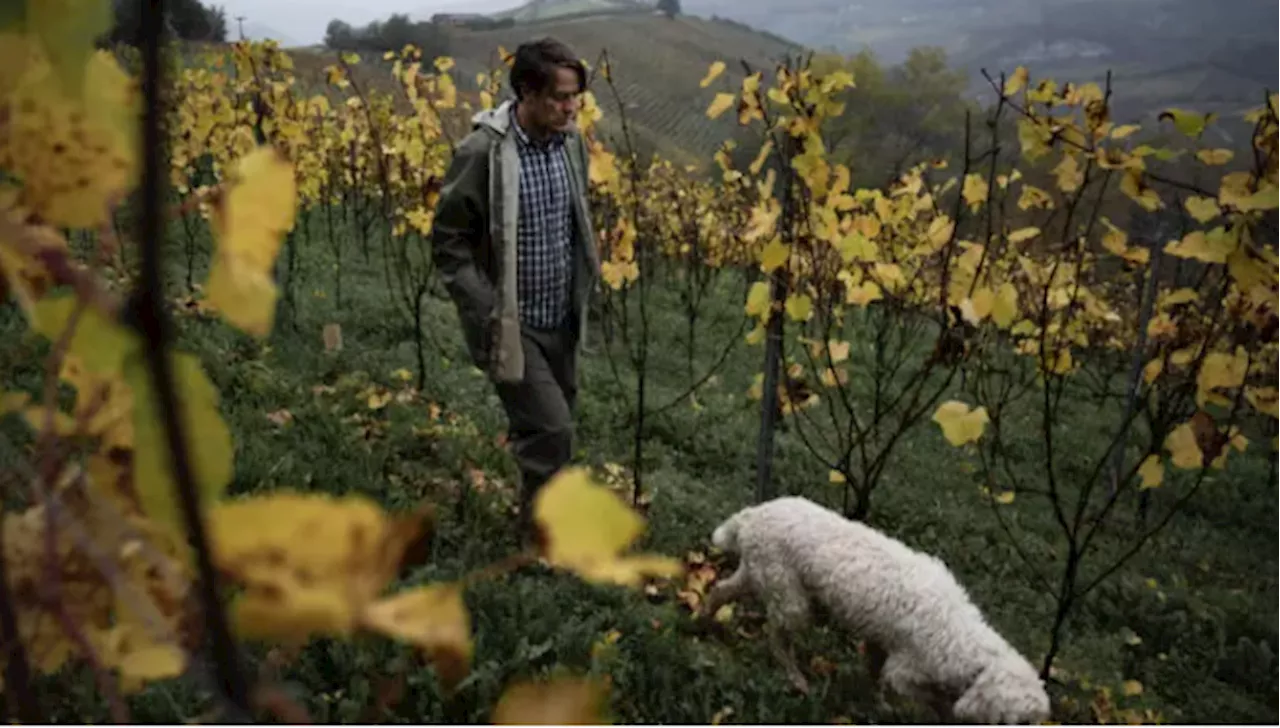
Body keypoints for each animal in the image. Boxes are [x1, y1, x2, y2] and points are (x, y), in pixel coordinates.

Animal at [701, 493, 1049, 721]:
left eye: (1035, 722)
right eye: (1021, 721)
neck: (961, 637)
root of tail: (752, 515)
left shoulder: (879, 643)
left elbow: (875, 676)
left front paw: (879, 706)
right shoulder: (904, 672)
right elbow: (932, 699)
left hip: (759, 573)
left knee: (719, 591)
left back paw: (705, 620)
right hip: (792, 600)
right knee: (776, 638)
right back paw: (795, 678)